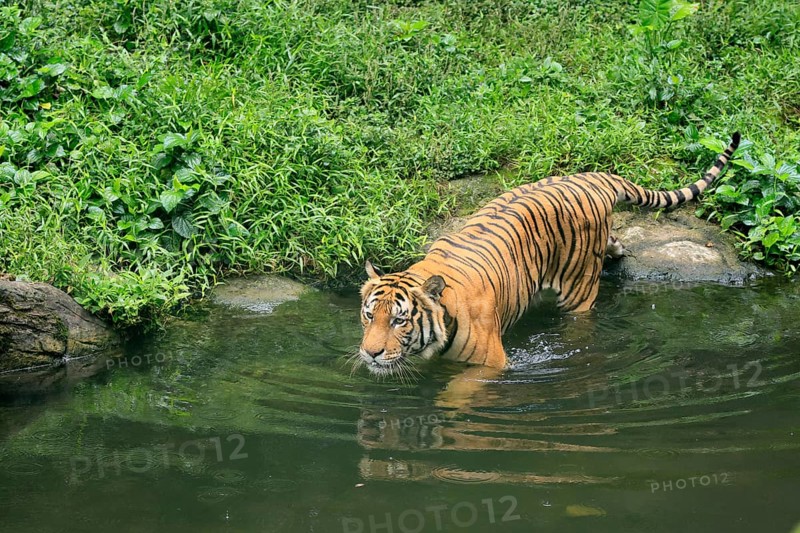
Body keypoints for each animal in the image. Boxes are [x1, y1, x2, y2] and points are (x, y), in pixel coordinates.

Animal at [357, 133, 740, 376]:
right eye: (369, 316)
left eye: (399, 320)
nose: (370, 353)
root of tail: (591, 177)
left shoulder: (490, 368)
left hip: (579, 289)